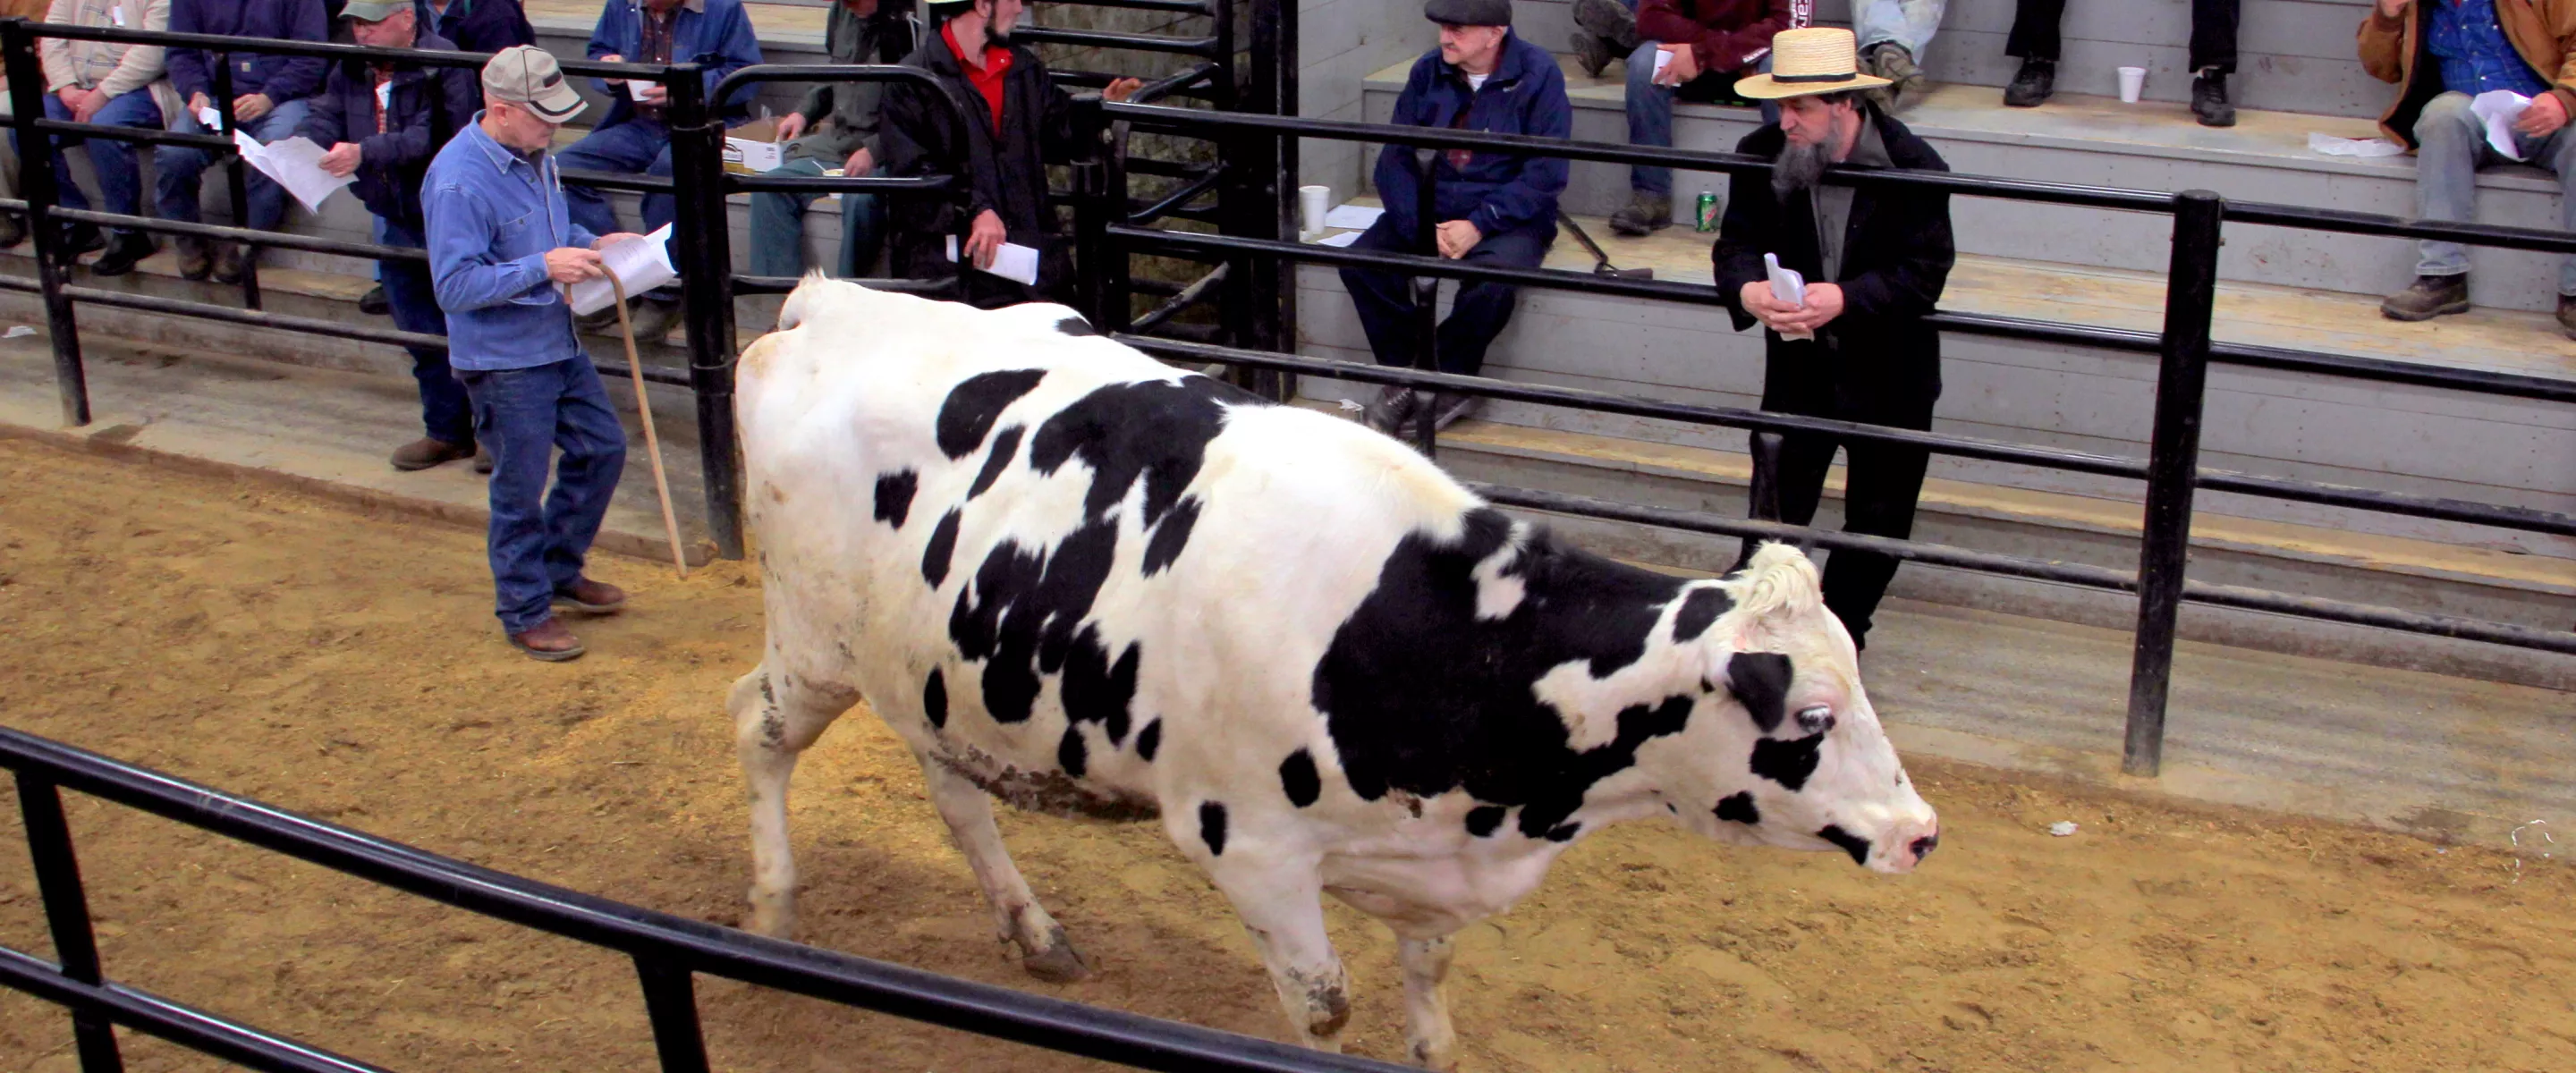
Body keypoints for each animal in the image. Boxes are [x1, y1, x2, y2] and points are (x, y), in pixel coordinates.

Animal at [726, 280, 1936, 1065]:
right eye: (1813, 714)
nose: (1921, 833)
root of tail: (829, 303)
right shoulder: (1249, 850)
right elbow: (1324, 1012)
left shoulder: (1437, 868)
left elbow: (1434, 1007)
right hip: (813, 640)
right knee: (755, 727)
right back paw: (773, 908)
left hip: (939, 669)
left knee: (953, 787)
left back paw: (1031, 929)